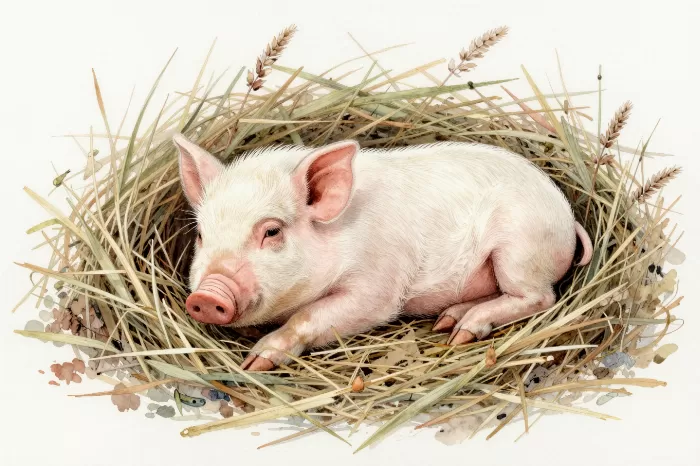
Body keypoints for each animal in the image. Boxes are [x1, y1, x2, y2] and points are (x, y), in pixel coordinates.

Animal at [173, 134, 592, 371]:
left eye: (271, 231)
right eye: (201, 234)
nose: (206, 297)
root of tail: (566, 216)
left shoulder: (378, 286)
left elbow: (308, 317)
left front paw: (255, 363)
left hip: (520, 250)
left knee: (540, 297)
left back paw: (461, 333)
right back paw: (447, 323)